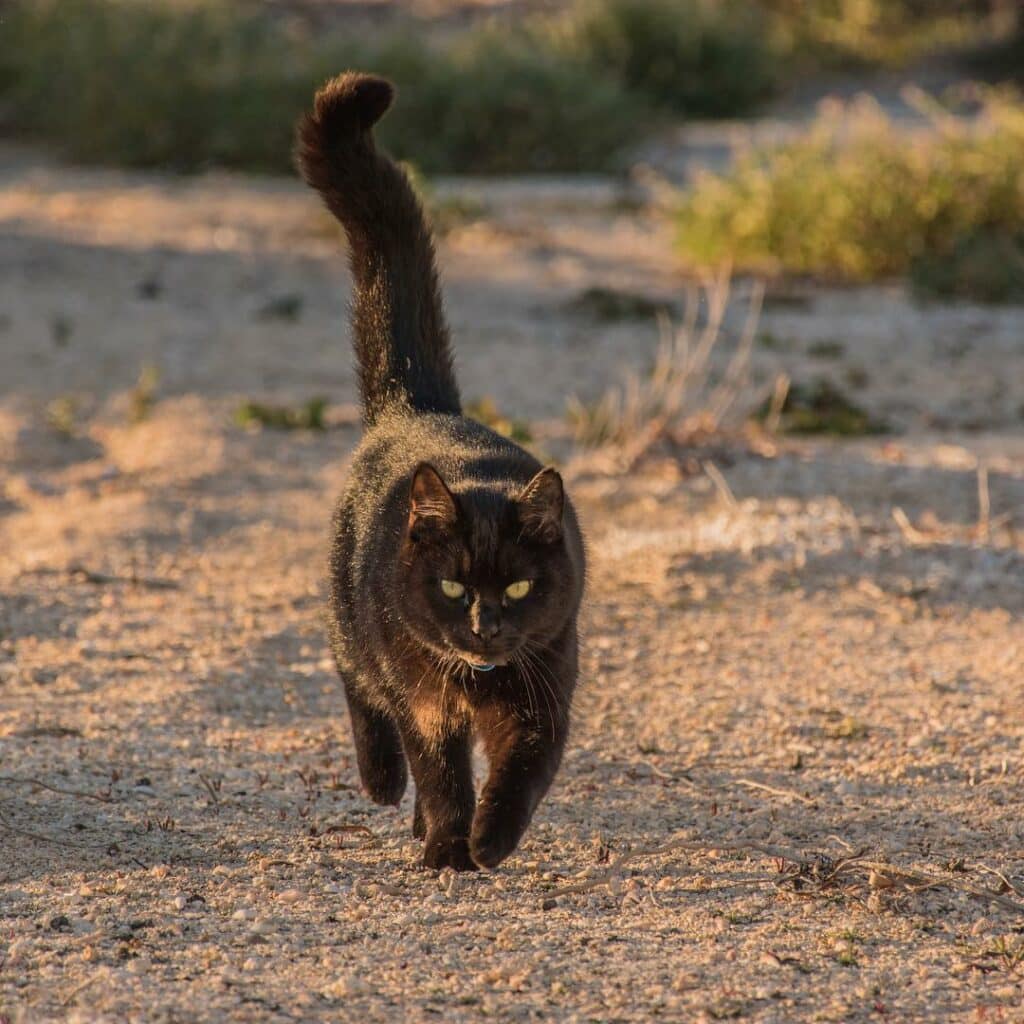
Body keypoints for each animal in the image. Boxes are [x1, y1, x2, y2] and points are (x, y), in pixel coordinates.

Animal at [296, 74, 585, 872]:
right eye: (454, 586)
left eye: (517, 587)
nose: (485, 627)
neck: (478, 681)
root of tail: (414, 407)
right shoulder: (425, 703)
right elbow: (443, 771)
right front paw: (451, 849)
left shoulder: (545, 692)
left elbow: (520, 775)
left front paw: (489, 842)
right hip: (354, 618)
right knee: (357, 682)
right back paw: (383, 783)